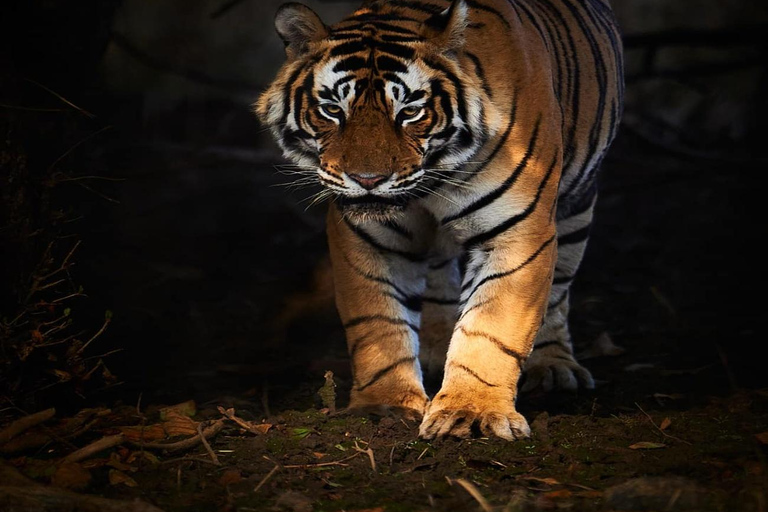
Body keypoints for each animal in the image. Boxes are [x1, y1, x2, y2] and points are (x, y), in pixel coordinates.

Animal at [256, 0, 623, 440]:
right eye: (332, 110)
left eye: (410, 112)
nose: (367, 180)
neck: (432, 179)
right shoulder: (368, 236)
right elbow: (377, 322)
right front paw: (385, 404)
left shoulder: (517, 232)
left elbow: (491, 328)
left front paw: (472, 410)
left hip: (577, 205)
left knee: (559, 288)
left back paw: (552, 366)